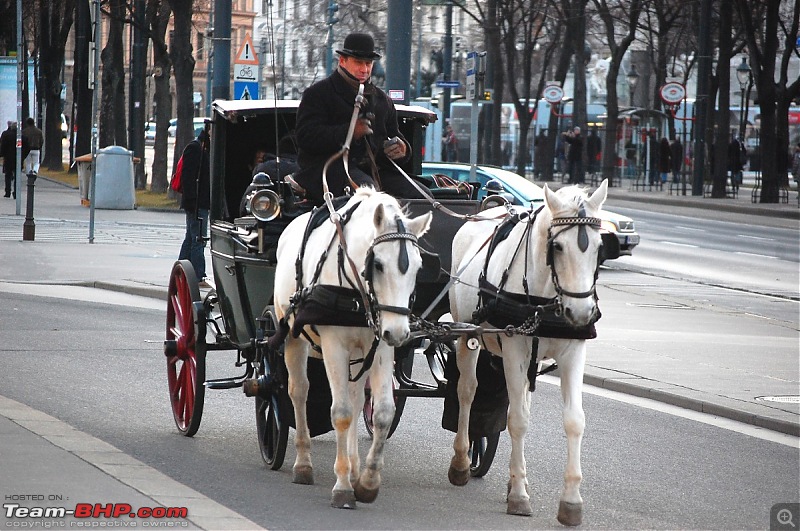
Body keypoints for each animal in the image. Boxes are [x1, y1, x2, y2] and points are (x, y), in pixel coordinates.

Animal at [272, 188, 432, 512]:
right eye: (378, 264)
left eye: (417, 267)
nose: (400, 333)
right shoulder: (335, 345)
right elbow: (342, 413)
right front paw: (344, 486)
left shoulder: (380, 347)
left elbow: (381, 412)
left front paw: (367, 481)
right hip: (294, 337)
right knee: (299, 392)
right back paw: (303, 463)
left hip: (361, 354)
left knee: (359, 400)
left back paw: (354, 466)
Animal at [450, 181, 608, 524]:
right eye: (558, 247)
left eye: (599, 247)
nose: (582, 312)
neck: (545, 299)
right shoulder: (514, 349)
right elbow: (518, 421)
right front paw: (520, 495)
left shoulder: (572, 353)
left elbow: (574, 420)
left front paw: (570, 500)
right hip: (466, 335)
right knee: (467, 391)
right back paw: (461, 461)